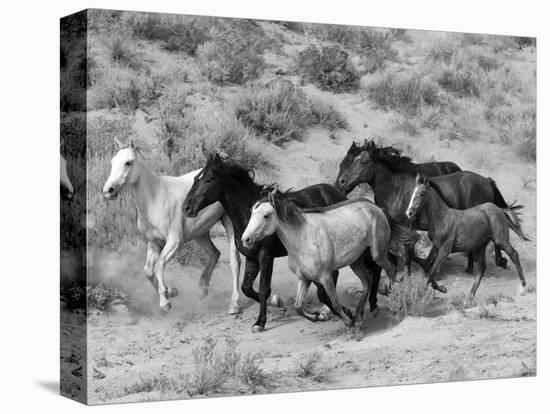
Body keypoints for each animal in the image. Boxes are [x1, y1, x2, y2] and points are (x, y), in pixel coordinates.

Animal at [103, 139, 242, 314]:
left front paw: (165, 302)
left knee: (235, 261)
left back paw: (234, 304)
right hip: (200, 232)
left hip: (229, 224)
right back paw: (201, 290)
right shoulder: (153, 242)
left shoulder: (174, 241)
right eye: (112, 162)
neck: (155, 200)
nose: (108, 191)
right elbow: (148, 270)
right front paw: (171, 292)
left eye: (128, 162)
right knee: (214, 253)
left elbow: (159, 264)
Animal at [244, 189, 398, 328]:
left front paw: (348, 324)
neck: (302, 238)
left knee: (390, 269)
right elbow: (298, 307)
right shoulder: (304, 278)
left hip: (378, 254)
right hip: (356, 261)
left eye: (266, 215)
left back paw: (395, 304)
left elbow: (334, 303)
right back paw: (359, 317)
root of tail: (376, 208)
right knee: (367, 281)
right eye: (251, 213)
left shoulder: (326, 276)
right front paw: (316, 316)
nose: (246, 239)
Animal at [406, 173, 532, 306]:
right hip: (481, 245)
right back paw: (468, 299)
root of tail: (500, 210)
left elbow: (431, 272)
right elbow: (428, 269)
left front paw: (420, 298)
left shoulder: (445, 250)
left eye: (421, 194)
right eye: (412, 193)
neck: (442, 218)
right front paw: (443, 289)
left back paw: (522, 288)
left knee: (514, 254)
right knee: (482, 268)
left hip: (500, 240)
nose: (409, 213)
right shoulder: (436, 247)